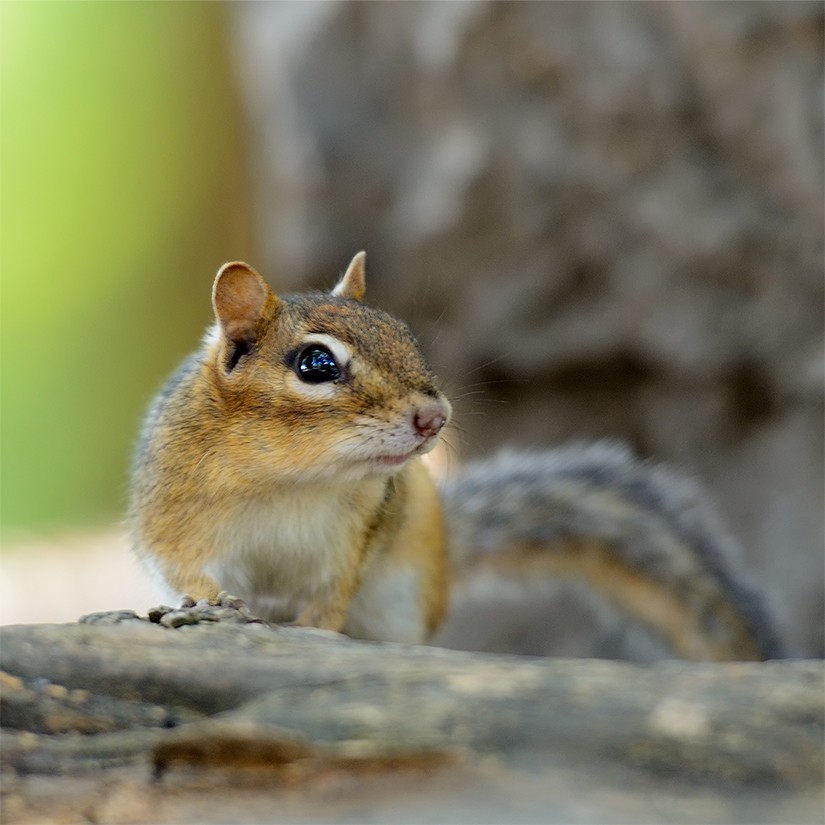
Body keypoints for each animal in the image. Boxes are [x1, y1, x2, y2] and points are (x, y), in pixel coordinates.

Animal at [130, 252, 782, 662]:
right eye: (316, 364)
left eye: (404, 333)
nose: (435, 417)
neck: (290, 478)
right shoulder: (173, 515)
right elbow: (185, 568)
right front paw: (205, 605)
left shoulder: (355, 539)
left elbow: (330, 601)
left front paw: (308, 631)